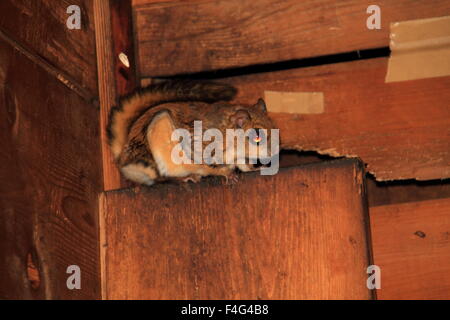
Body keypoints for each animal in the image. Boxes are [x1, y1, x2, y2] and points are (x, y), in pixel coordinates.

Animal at [108, 79, 278, 185]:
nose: (274, 153)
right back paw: (186, 177)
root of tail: (123, 157)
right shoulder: (202, 149)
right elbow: (213, 167)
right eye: (257, 136)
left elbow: (244, 166)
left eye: (273, 125)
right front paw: (228, 174)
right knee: (160, 177)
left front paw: (258, 168)